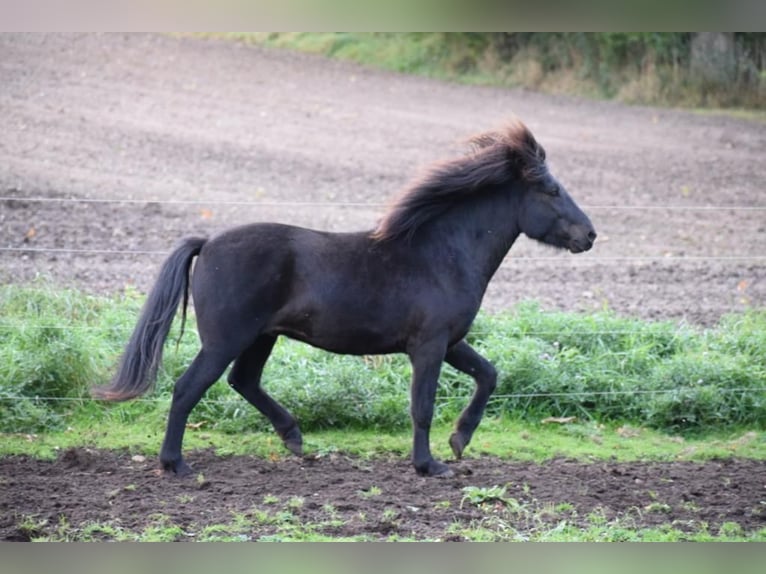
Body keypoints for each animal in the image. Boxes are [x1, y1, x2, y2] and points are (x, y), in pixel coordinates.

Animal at [93, 122, 600, 482]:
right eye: (551, 190)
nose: (590, 235)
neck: (442, 253)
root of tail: (208, 242)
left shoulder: (451, 342)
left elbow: (488, 375)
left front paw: (459, 441)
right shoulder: (429, 346)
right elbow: (422, 406)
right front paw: (430, 465)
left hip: (261, 337)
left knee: (244, 382)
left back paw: (295, 440)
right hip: (225, 340)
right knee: (187, 389)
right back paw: (175, 464)